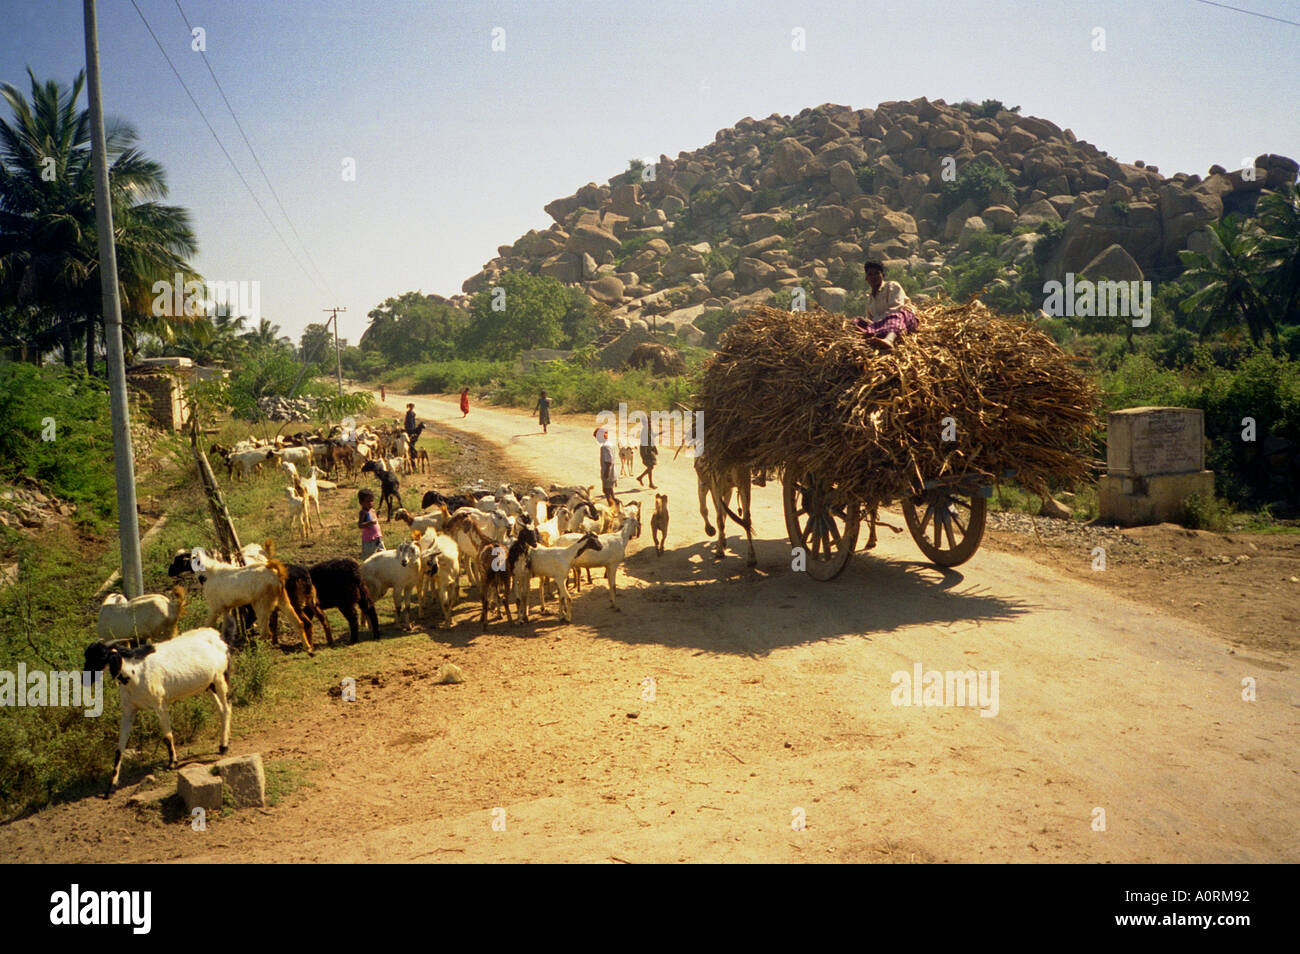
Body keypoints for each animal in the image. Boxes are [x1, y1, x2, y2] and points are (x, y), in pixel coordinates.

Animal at [85, 631, 231, 795]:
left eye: (102, 656)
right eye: (87, 656)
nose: (85, 679)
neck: (135, 672)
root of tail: (218, 636)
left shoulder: (159, 704)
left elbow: (167, 736)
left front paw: (172, 763)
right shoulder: (128, 711)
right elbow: (119, 748)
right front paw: (111, 786)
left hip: (220, 679)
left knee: (227, 709)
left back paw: (224, 747)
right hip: (208, 685)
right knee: (221, 710)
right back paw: (222, 743)